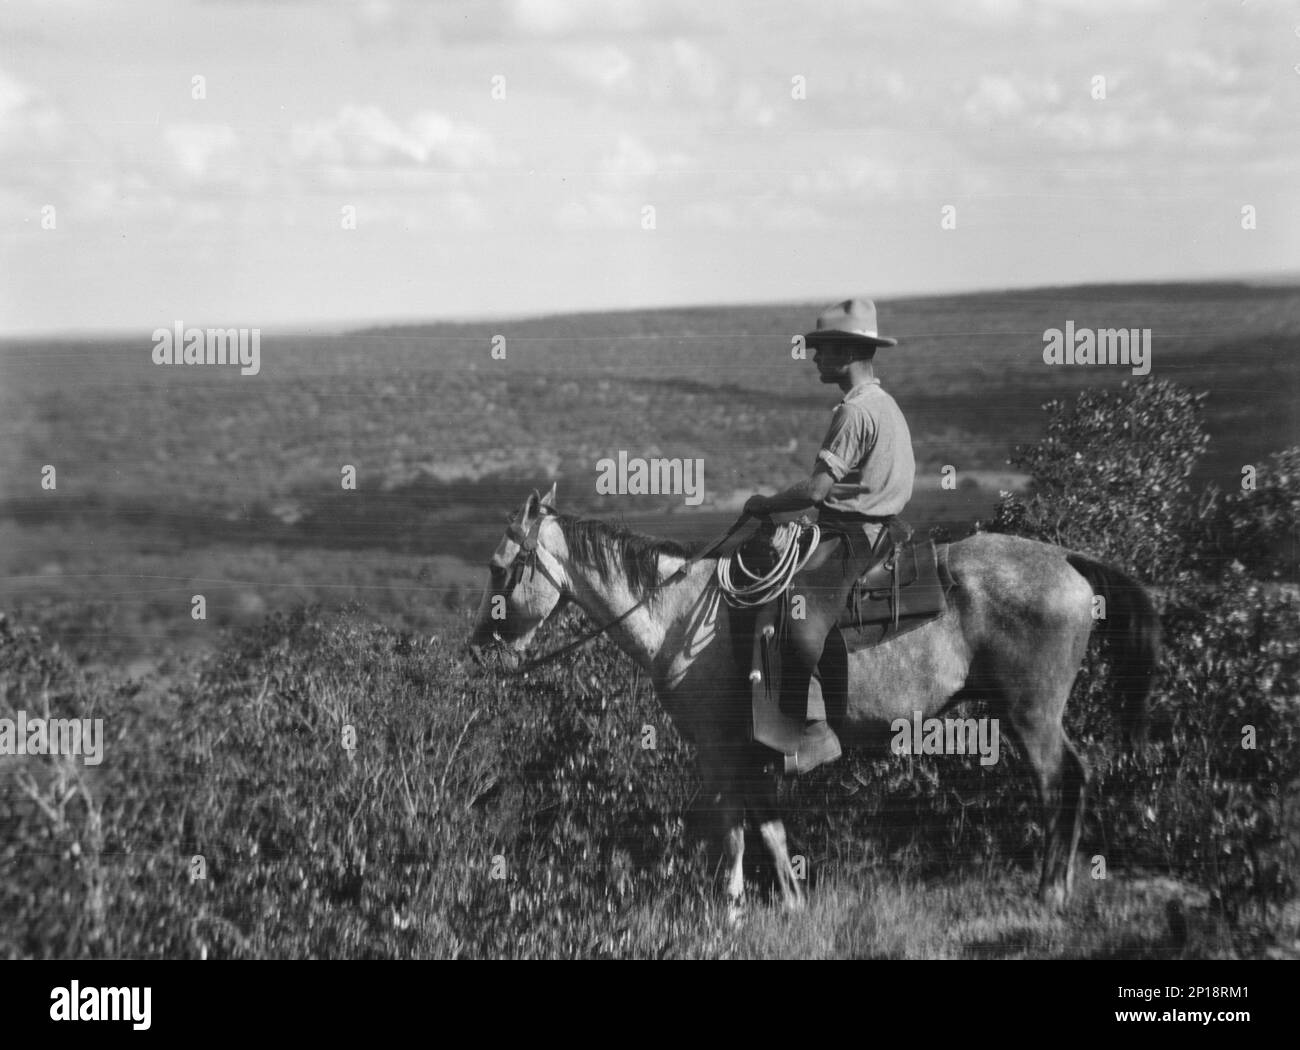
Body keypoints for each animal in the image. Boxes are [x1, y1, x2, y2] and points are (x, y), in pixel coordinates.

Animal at [465, 488, 1159, 914]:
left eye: (500, 567)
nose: (478, 649)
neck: (680, 615)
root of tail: (1067, 559)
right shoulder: (750, 753)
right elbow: (769, 827)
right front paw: (793, 904)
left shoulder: (719, 751)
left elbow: (733, 831)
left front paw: (731, 914)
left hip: (1030, 712)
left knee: (1062, 780)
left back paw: (1052, 890)